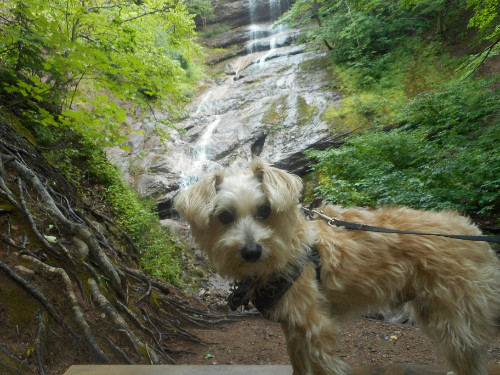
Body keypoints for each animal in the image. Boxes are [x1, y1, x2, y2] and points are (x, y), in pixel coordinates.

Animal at [174, 162, 498, 375]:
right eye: (225, 216)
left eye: (264, 210)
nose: (251, 251)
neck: (289, 248)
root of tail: (473, 230)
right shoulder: (293, 329)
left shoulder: (316, 328)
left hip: (454, 316)